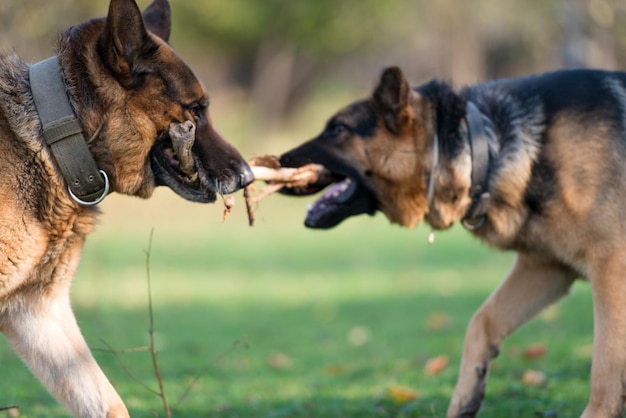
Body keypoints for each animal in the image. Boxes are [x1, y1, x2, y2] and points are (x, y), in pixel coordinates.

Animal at [280, 66, 626, 418]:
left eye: (338, 129)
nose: (278, 160)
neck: (482, 144)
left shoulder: (611, 266)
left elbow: (606, 360)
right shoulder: (546, 268)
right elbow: (481, 321)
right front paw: (464, 398)